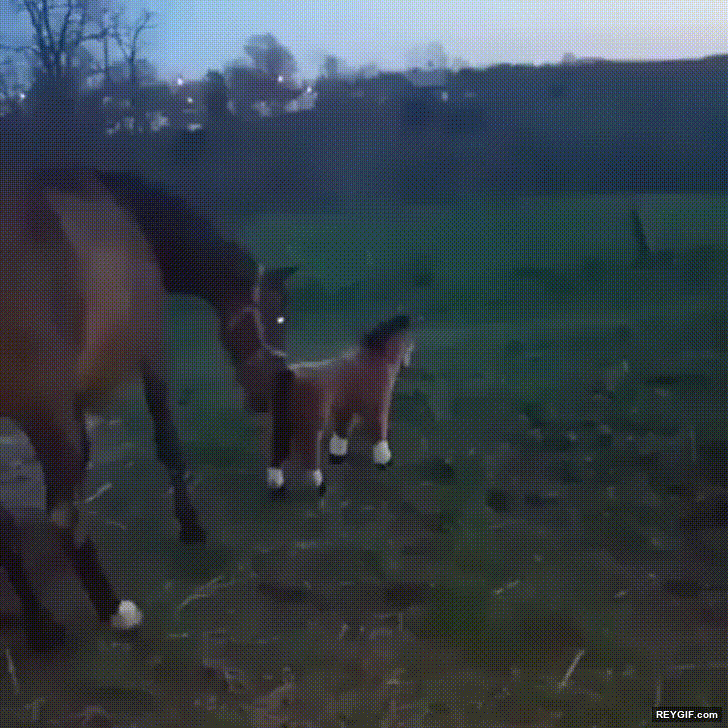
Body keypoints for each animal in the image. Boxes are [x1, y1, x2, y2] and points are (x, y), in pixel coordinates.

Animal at [0, 164, 289, 648]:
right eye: (280, 314)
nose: (272, 393)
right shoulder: (151, 351)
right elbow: (167, 443)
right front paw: (190, 525)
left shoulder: (77, 396)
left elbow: (80, 470)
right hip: (44, 414)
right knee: (60, 515)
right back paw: (111, 609)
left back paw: (41, 623)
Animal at [265, 314, 414, 499]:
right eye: (408, 341)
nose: (408, 361)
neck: (374, 360)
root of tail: (289, 375)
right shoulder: (379, 405)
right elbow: (379, 432)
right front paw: (385, 460)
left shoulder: (345, 408)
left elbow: (342, 431)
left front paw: (337, 455)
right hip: (310, 427)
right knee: (308, 455)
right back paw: (320, 486)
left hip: (282, 423)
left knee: (277, 454)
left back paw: (278, 487)